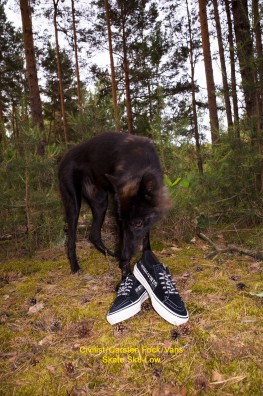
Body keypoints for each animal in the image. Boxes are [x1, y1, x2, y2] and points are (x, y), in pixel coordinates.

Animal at [58, 132, 169, 278]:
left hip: (100, 203)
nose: (123, 259)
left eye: (138, 223)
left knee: (93, 235)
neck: (139, 163)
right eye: (121, 222)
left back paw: (111, 255)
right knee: (71, 241)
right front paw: (126, 272)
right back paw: (75, 267)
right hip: (74, 205)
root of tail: (65, 156)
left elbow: (145, 237)